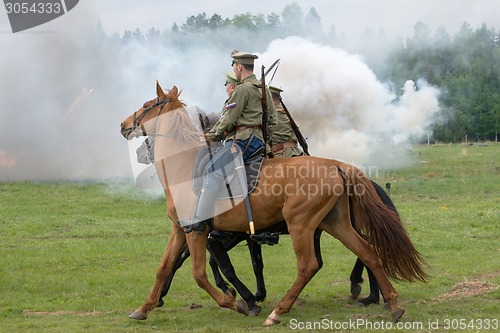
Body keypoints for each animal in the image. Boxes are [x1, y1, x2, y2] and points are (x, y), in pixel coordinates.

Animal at [120, 81, 426, 324]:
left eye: (147, 105)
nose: (124, 124)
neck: (184, 166)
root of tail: (338, 165)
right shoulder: (181, 230)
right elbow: (164, 268)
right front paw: (145, 307)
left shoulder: (199, 231)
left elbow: (200, 273)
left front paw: (238, 302)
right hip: (335, 223)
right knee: (368, 252)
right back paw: (392, 304)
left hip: (301, 224)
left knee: (309, 265)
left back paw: (279, 311)